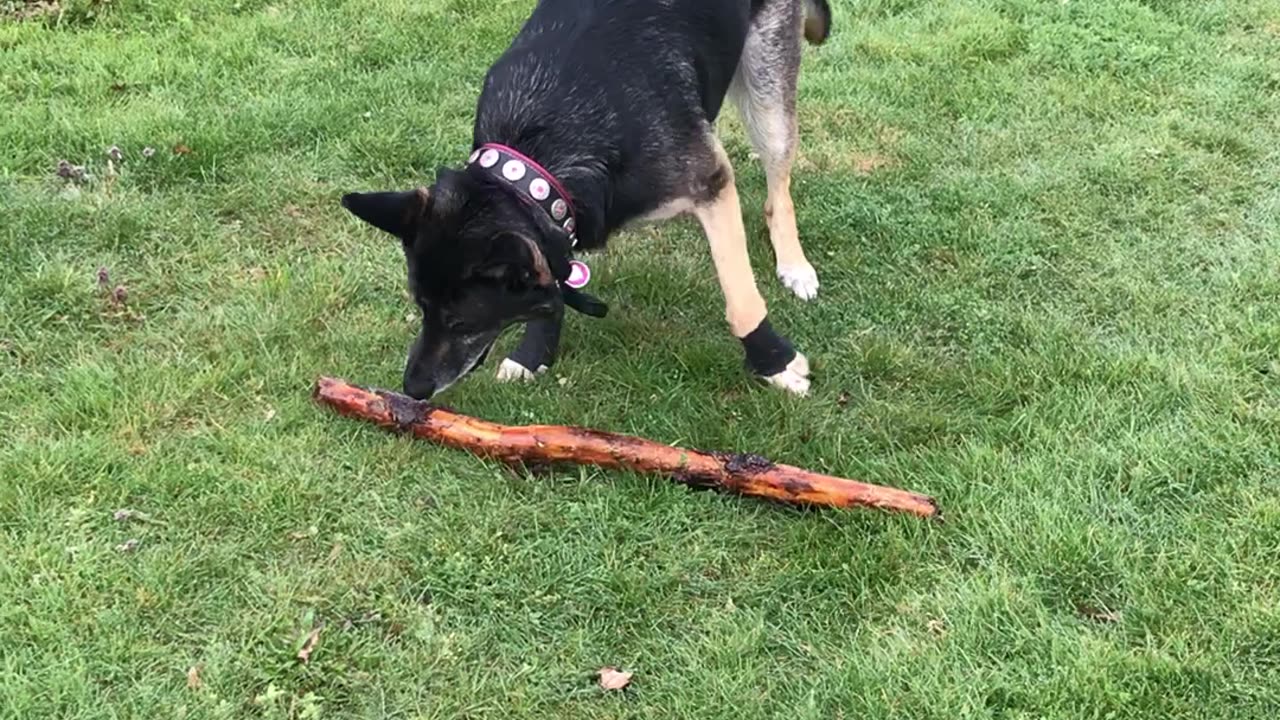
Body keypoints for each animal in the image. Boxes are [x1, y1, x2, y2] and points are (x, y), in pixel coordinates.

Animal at [340, 0, 829, 397]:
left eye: (461, 322)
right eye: (421, 308)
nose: (413, 389)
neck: (539, 147)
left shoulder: (712, 184)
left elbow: (741, 298)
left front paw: (774, 362)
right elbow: (554, 276)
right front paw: (535, 350)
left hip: (767, 94)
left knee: (778, 191)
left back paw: (793, 263)